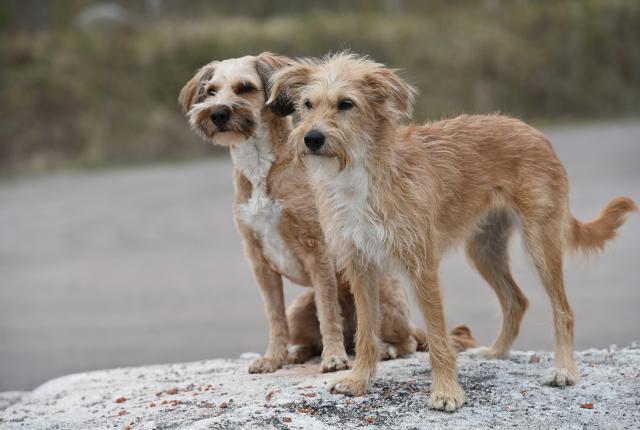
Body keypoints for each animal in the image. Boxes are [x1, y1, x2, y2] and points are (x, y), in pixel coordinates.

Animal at [178, 53, 478, 374]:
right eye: (211, 91)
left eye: (244, 87)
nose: (218, 113)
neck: (262, 169)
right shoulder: (259, 260)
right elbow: (274, 316)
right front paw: (273, 357)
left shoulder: (317, 250)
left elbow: (328, 311)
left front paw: (333, 357)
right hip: (298, 309)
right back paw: (298, 352)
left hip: (384, 304)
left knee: (403, 340)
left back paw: (383, 349)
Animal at [266, 52, 636, 412]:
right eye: (307, 105)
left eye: (346, 104)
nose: (311, 138)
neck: (362, 171)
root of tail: (535, 132)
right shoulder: (361, 266)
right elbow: (366, 333)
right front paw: (359, 380)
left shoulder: (421, 266)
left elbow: (437, 336)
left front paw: (446, 392)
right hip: (484, 249)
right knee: (516, 300)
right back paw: (496, 351)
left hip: (540, 244)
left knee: (563, 310)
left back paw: (563, 370)